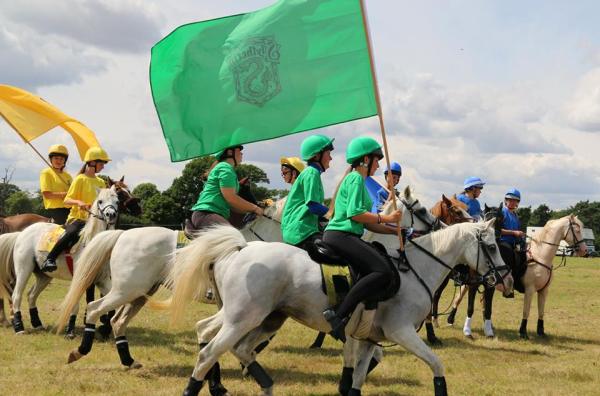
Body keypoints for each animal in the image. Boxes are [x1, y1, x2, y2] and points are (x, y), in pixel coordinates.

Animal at [163, 217, 510, 396]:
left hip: (267, 318)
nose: (504, 280)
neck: (415, 270)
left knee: (234, 346)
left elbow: (357, 380)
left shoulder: (369, 339)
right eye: (492, 247)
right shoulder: (401, 332)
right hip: (242, 317)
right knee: (210, 351)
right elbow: (437, 366)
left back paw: (264, 385)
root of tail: (239, 248)